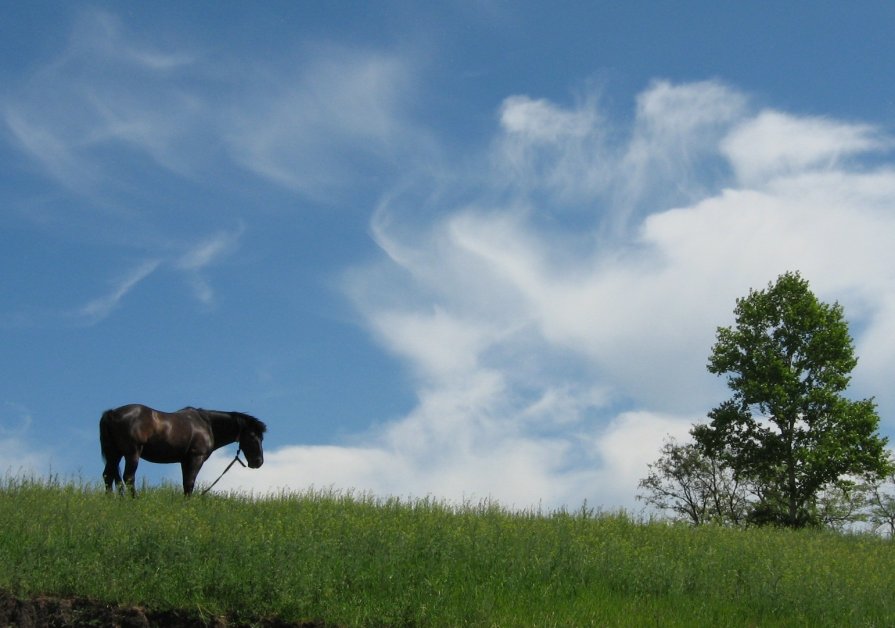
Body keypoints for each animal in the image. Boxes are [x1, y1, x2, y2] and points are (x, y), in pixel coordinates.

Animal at [100, 404, 266, 498]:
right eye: (253, 436)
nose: (258, 462)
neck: (207, 424)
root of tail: (112, 413)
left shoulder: (184, 461)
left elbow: (185, 483)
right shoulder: (196, 458)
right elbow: (190, 482)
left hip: (114, 453)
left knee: (108, 475)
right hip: (132, 453)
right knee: (128, 477)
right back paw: (135, 499)